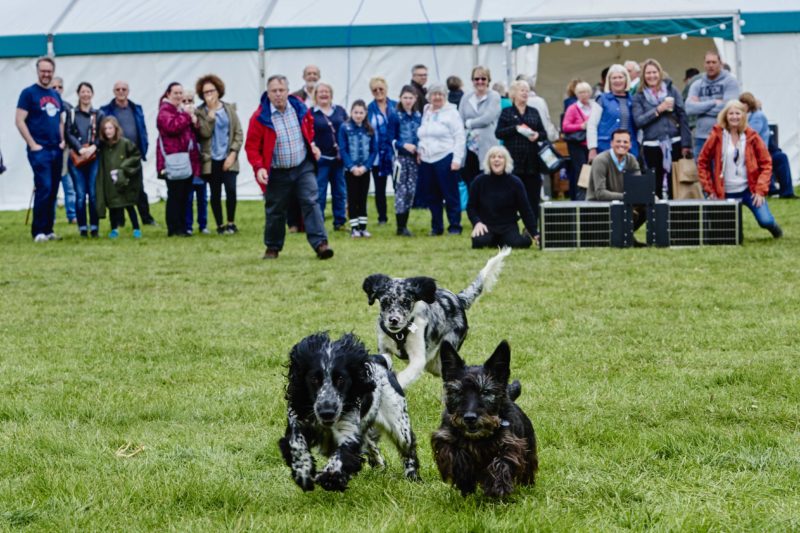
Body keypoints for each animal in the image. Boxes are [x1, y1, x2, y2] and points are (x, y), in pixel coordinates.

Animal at [278, 332, 422, 490]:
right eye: (314, 379)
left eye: (341, 379)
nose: (327, 412)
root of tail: (380, 361)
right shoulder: (297, 420)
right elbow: (296, 443)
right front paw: (302, 471)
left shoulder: (348, 430)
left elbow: (342, 454)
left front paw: (330, 476)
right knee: (371, 446)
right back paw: (380, 466)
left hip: (399, 425)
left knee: (408, 450)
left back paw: (413, 478)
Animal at [362, 243, 512, 388]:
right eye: (385, 301)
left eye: (406, 302)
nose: (394, 320)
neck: (400, 333)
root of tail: (458, 299)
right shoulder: (384, 348)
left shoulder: (418, 358)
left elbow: (402, 378)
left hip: (443, 352)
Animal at [432, 338, 536, 496]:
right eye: (459, 392)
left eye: (486, 392)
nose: (469, 418)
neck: (478, 438)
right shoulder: (443, 437)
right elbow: (454, 453)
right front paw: (465, 478)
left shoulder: (512, 443)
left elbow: (501, 462)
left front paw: (498, 487)